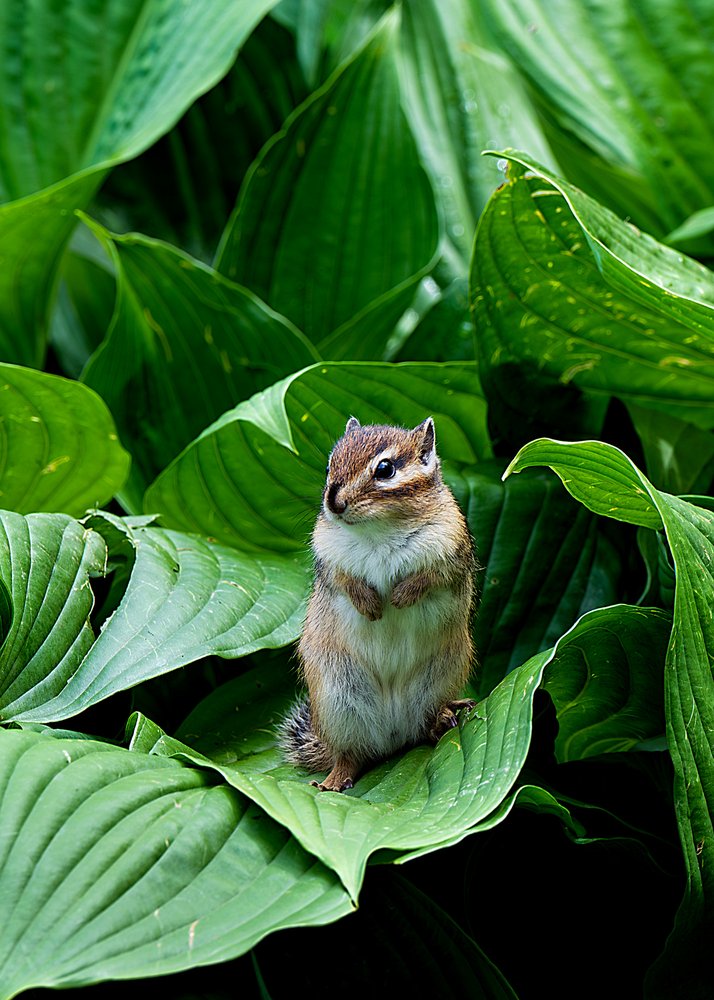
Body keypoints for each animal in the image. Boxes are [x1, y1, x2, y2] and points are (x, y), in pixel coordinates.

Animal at [279, 416, 476, 792]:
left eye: (385, 469)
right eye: (330, 465)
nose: (334, 503)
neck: (379, 529)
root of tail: (393, 737)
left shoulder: (450, 549)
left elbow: (430, 578)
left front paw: (401, 596)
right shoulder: (330, 557)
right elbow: (345, 581)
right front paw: (370, 604)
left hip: (439, 679)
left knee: (423, 727)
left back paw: (443, 718)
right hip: (339, 701)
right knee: (350, 755)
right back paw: (333, 781)